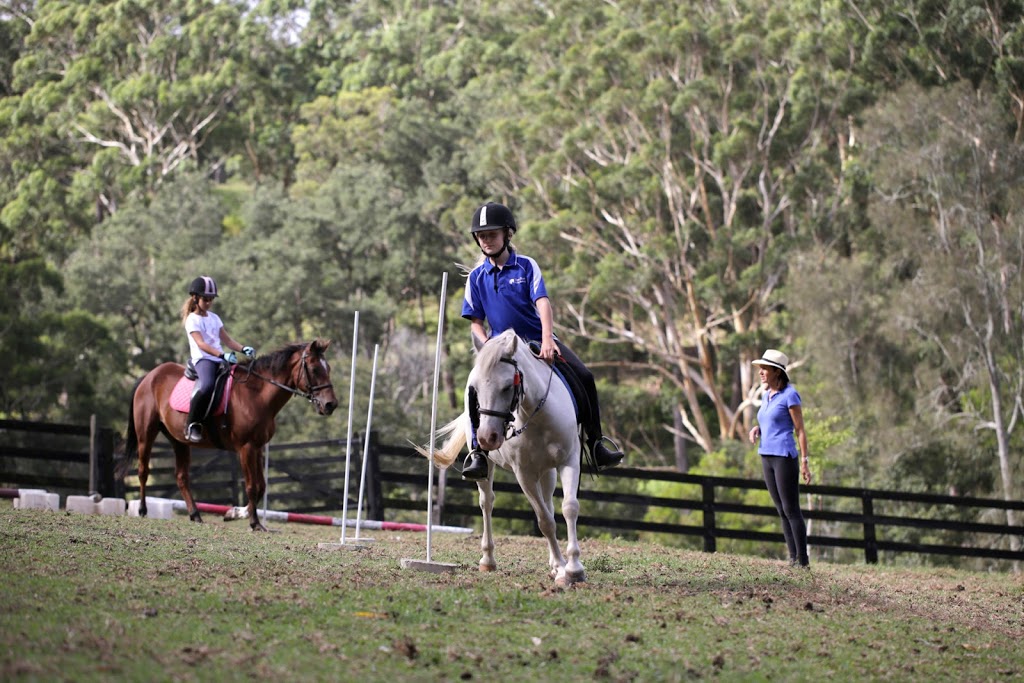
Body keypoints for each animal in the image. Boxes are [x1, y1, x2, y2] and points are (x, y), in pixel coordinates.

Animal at [119, 339, 335, 532]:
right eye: (315, 369)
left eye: (329, 368)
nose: (331, 405)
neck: (256, 394)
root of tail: (149, 376)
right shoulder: (246, 448)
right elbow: (251, 486)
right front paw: (254, 523)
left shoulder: (257, 448)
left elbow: (261, 486)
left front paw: (234, 513)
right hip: (146, 435)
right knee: (143, 471)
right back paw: (143, 510)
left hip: (179, 441)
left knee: (181, 477)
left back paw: (195, 515)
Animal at [421, 327, 585, 585]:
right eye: (475, 389)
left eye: (508, 386)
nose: (487, 437)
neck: (538, 416)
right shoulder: (524, 474)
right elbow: (545, 520)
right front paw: (562, 567)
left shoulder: (568, 461)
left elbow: (569, 508)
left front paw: (573, 568)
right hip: (487, 467)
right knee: (487, 503)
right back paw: (488, 560)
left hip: (547, 470)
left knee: (548, 501)